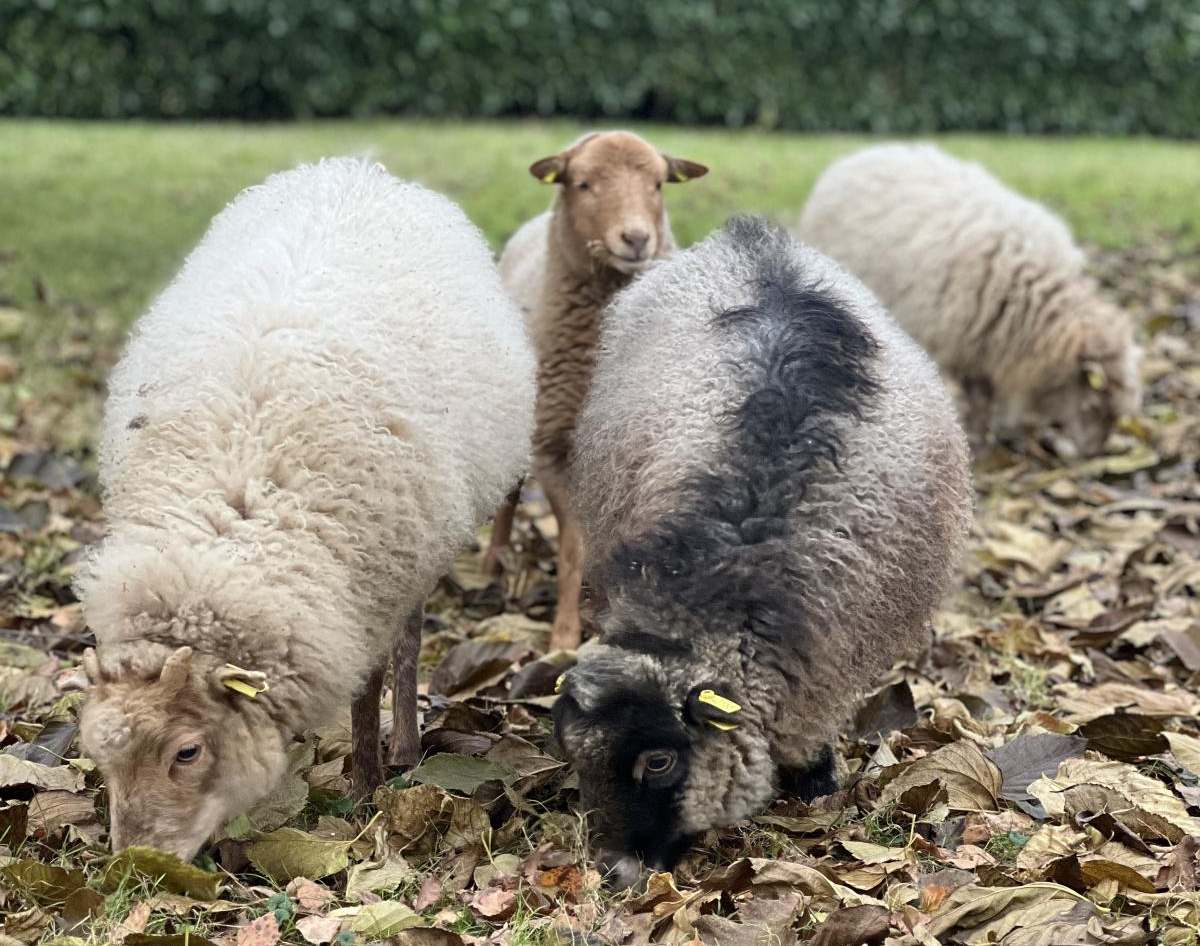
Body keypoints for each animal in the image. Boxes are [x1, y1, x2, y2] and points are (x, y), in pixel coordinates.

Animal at [75, 158, 535, 860]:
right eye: (101, 762)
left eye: (187, 752)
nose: (140, 868)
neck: (229, 526)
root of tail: (356, 168)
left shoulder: (373, 579)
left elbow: (367, 690)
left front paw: (367, 789)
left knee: (409, 642)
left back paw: (404, 748)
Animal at [483, 131, 708, 650]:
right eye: (583, 183)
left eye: (658, 184)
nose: (637, 238)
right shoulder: (555, 450)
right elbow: (573, 549)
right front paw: (565, 636)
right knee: (509, 493)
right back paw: (492, 565)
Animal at [552, 217, 972, 887]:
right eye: (573, 755)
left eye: (659, 762)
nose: (615, 873)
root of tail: (750, 234)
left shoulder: (831, 655)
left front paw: (817, 779)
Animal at [795, 143, 1140, 458]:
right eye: (1094, 402)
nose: (1094, 453)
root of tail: (852, 158)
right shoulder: (967, 346)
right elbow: (979, 397)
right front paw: (979, 438)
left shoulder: (993, 346)